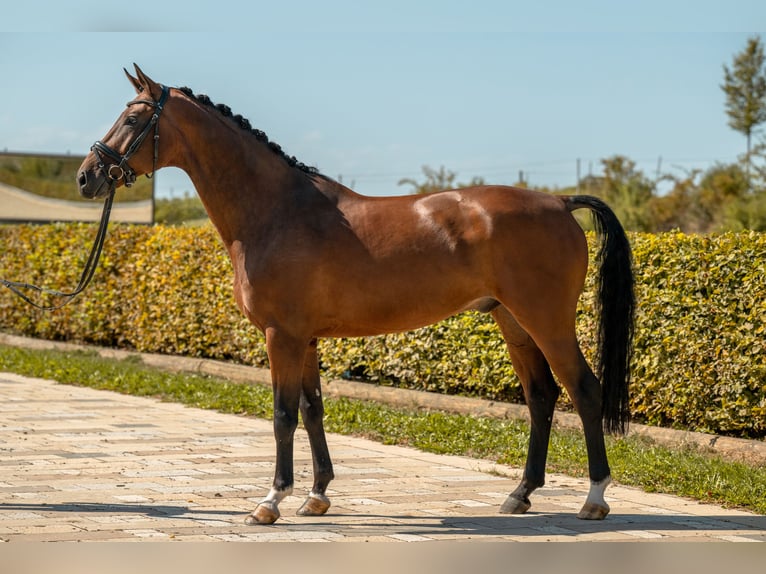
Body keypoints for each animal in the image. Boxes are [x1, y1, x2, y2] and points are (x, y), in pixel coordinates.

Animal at [77, 65, 635, 525]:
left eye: (133, 118)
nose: (87, 176)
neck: (276, 212)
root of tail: (560, 202)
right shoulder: (305, 338)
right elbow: (311, 410)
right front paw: (317, 496)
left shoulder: (281, 336)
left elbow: (282, 416)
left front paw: (270, 502)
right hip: (513, 323)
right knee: (541, 397)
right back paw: (520, 495)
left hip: (547, 321)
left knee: (583, 391)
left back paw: (594, 499)